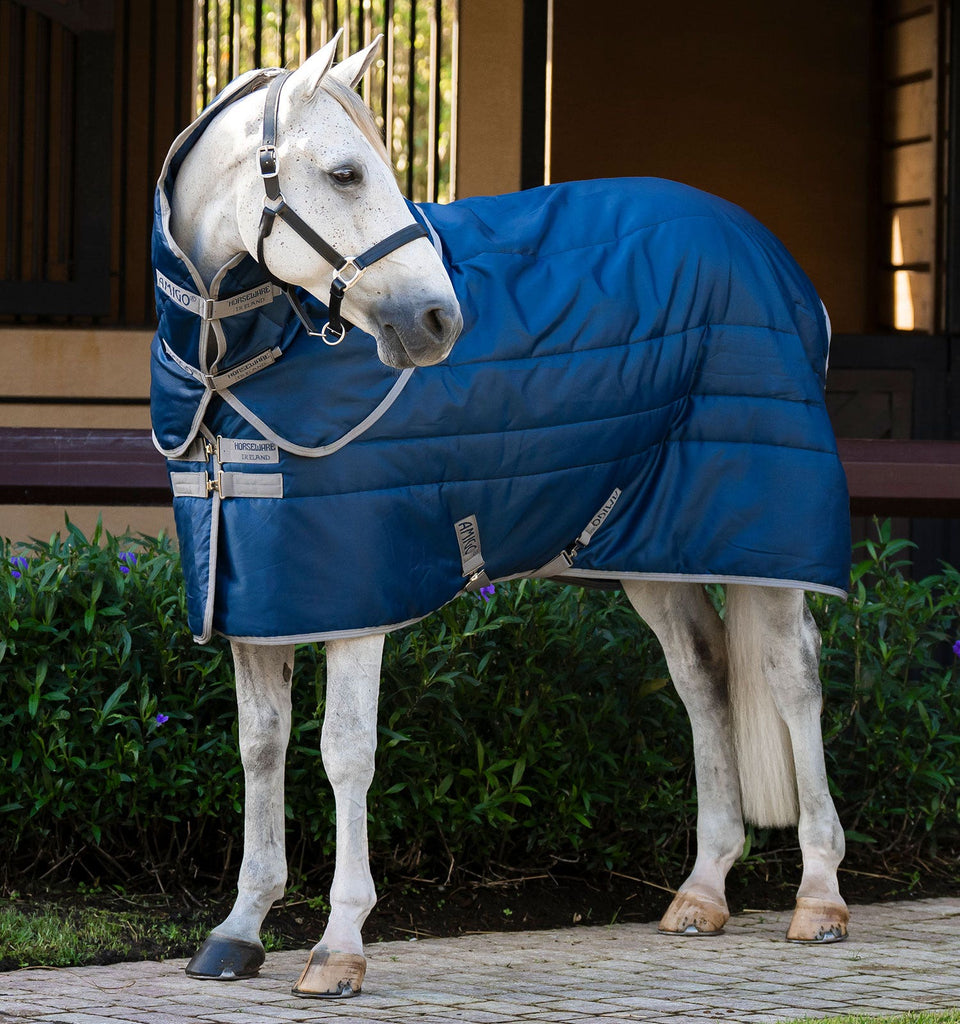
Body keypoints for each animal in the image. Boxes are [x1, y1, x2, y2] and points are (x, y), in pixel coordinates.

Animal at [151, 34, 851, 998]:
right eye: (344, 173)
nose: (438, 320)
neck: (237, 370)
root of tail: (774, 259)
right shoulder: (258, 595)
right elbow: (262, 746)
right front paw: (238, 930)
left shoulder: (357, 597)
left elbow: (344, 751)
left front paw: (339, 946)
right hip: (647, 547)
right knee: (703, 674)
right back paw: (702, 892)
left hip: (764, 536)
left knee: (793, 678)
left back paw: (819, 897)